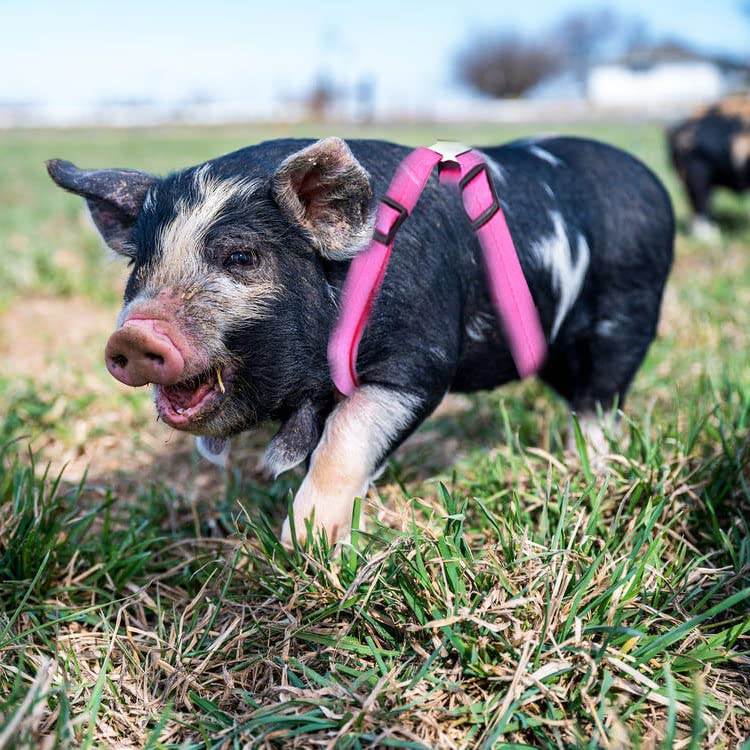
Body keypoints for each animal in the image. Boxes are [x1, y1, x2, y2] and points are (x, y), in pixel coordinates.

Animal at [47, 135, 674, 545]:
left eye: (241, 257)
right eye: (139, 266)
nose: (134, 334)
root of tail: (652, 181)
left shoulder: (420, 359)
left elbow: (346, 436)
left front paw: (307, 544)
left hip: (630, 309)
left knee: (601, 398)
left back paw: (591, 467)